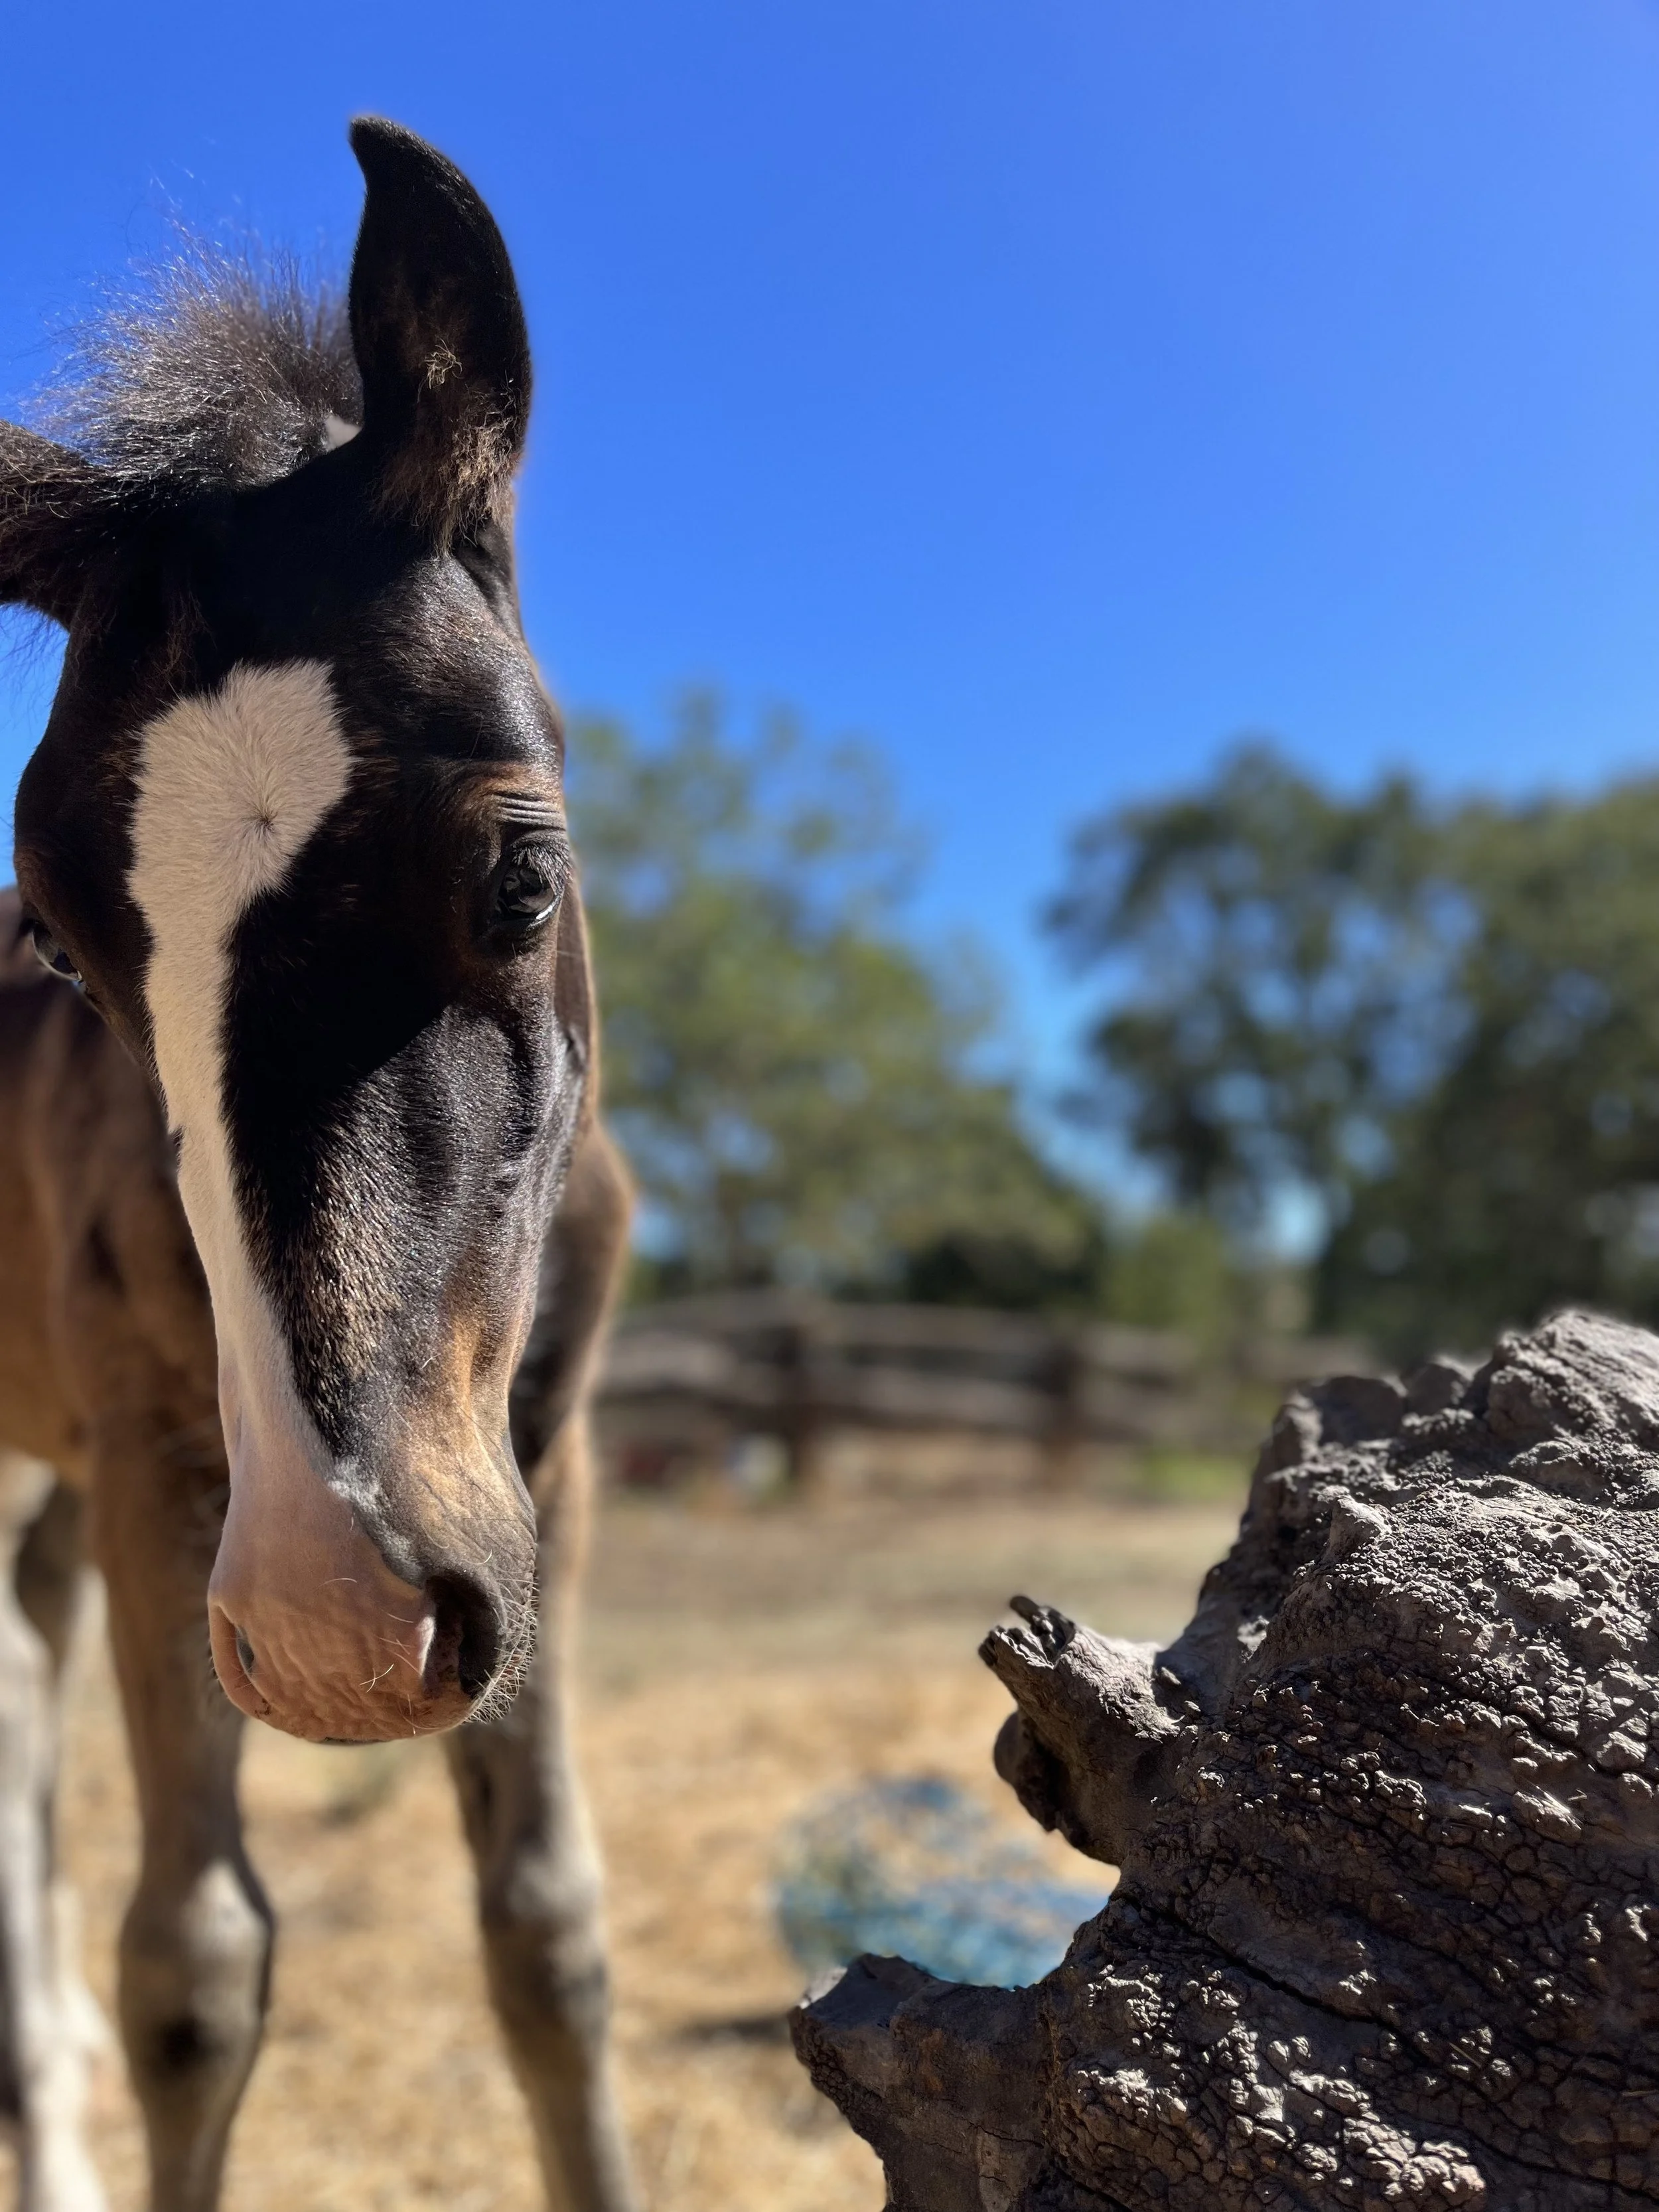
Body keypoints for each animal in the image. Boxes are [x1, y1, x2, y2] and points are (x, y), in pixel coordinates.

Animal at [0, 120, 640, 2211]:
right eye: (64, 949)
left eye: (521, 873)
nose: (338, 1630)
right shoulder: (157, 1465)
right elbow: (192, 1970)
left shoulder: (545, 1460)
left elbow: (548, 1934)